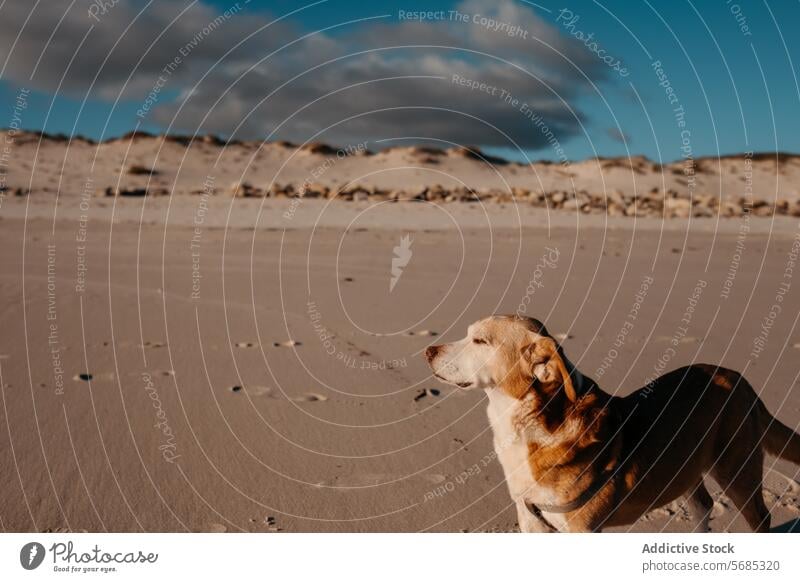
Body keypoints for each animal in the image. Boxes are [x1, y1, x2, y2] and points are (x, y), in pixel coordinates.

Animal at [424, 318, 800, 532]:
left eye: (480, 341)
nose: (428, 351)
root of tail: (741, 381)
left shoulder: (581, 530)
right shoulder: (530, 521)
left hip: (736, 470)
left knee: (761, 519)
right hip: (685, 468)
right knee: (704, 506)